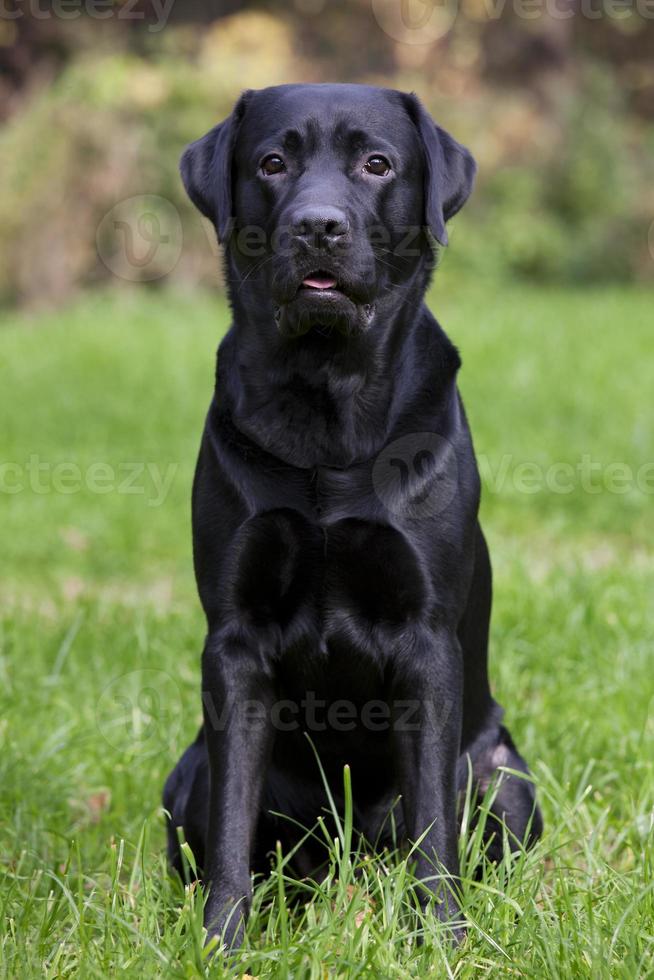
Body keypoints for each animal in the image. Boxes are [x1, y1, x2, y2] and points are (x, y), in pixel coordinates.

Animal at [164, 82, 544, 948]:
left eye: (377, 164)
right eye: (272, 162)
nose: (318, 226)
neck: (328, 408)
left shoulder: (427, 640)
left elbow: (433, 819)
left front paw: (442, 937)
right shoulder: (233, 644)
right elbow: (231, 822)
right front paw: (222, 941)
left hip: (505, 773)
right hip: (183, 775)